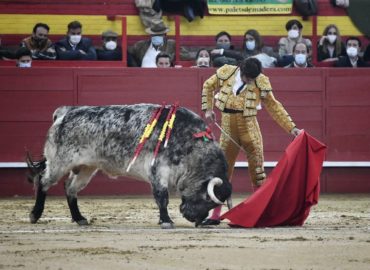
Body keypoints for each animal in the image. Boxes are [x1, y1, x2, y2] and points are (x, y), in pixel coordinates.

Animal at [27, 103, 231, 228]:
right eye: (207, 198)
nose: (195, 219)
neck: (192, 144)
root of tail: (65, 112)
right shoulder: (158, 171)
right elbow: (162, 197)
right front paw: (166, 220)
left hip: (86, 167)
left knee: (70, 188)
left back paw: (80, 218)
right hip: (59, 162)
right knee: (43, 181)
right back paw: (35, 214)